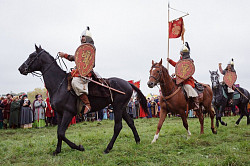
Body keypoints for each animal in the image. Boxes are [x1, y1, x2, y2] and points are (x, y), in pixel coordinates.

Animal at [19, 45, 148, 154]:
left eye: (32, 56)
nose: (21, 68)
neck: (59, 84)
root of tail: (128, 83)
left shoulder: (68, 113)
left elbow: (61, 132)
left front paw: (79, 147)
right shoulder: (60, 114)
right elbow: (59, 132)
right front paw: (57, 150)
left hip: (117, 107)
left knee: (118, 126)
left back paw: (108, 148)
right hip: (122, 108)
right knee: (130, 122)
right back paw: (137, 141)